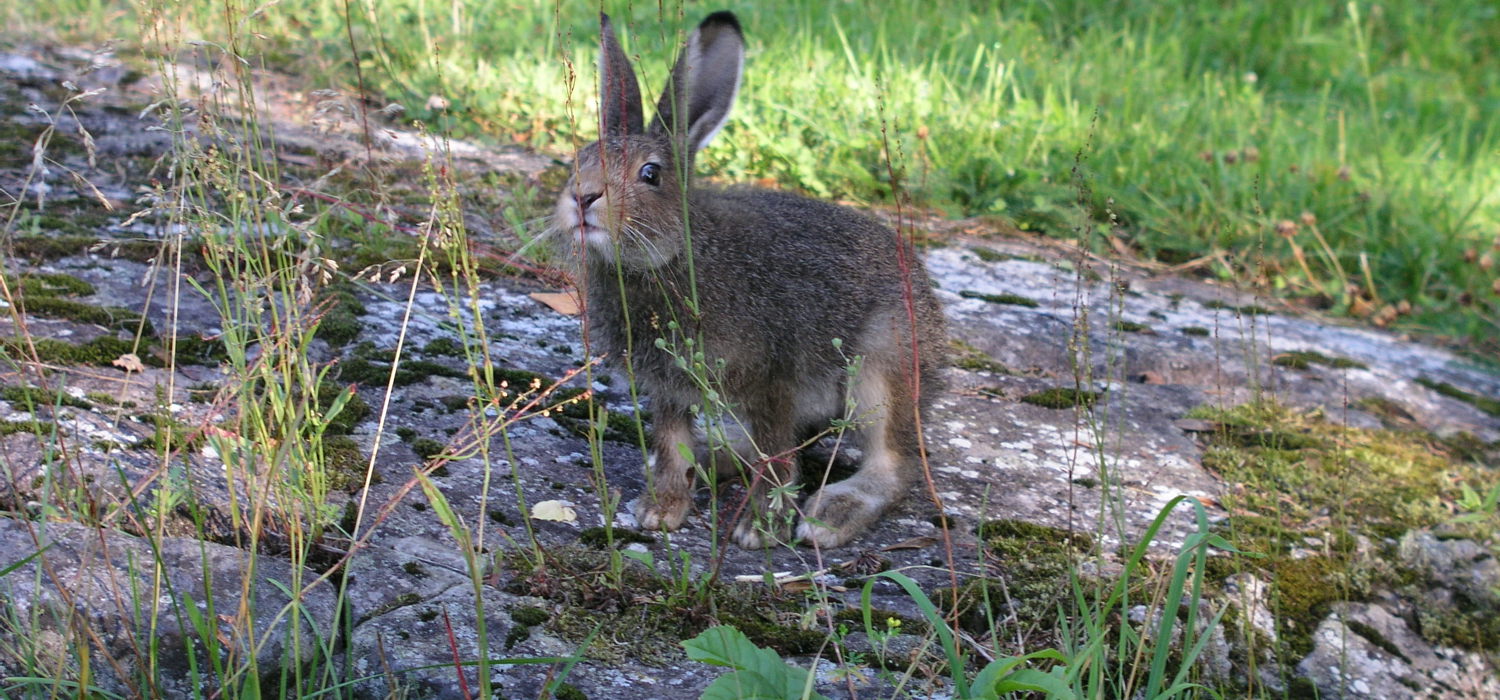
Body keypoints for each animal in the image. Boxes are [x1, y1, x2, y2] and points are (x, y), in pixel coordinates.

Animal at [549, 11, 946, 548]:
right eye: (580, 158)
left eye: (650, 174)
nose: (583, 198)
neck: (682, 255)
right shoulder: (669, 386)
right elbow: (672, 442)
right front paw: (662, 508)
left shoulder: (773, 377)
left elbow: (776, 452)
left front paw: (760, 529)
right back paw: (711, 459)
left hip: (881, 365)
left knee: (894, 461)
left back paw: (830, 514)